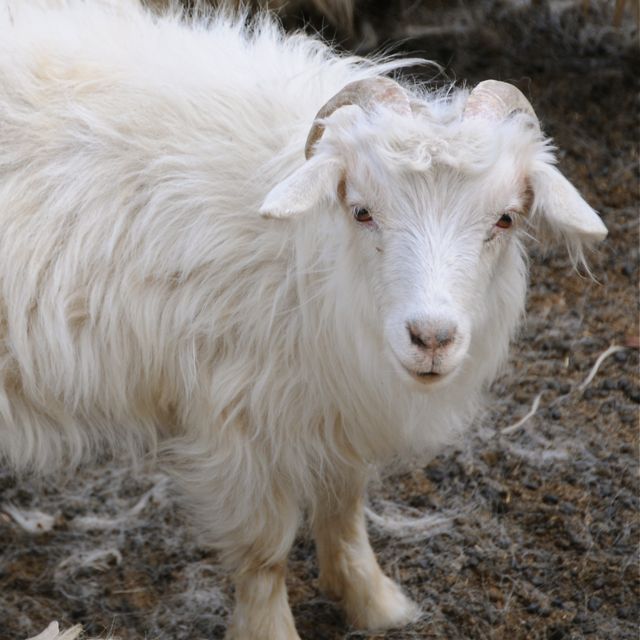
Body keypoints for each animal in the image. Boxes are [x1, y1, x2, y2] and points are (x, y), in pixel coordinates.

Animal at [0, 2, 608, 636]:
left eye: (506, 218)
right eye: (361, 210)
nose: (432, 338)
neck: (312, 258)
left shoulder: (334, 403)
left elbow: (344, 507)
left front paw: (374, 602)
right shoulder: (237, 414)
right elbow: (264, 550)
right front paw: (271, 627)